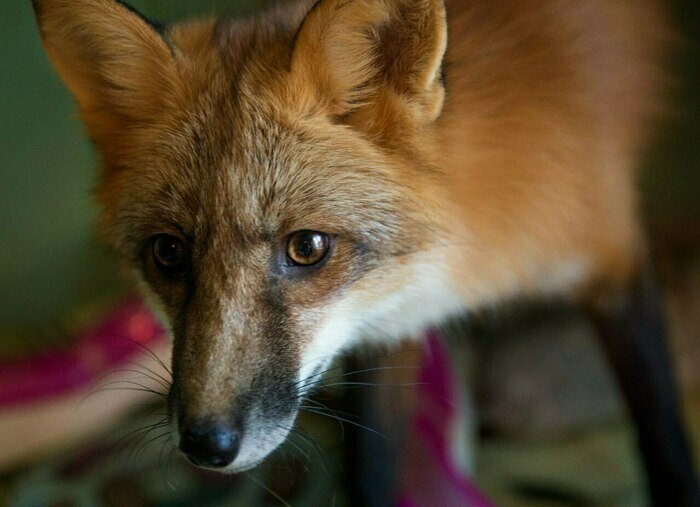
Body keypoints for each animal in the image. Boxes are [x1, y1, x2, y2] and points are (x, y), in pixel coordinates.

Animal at [34, 0, 700, 504]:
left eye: (307, 247)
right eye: (169, 253)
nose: (206, 445)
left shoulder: (614, 260)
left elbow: (661, 432)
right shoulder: (383, 330)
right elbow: (373, 464)